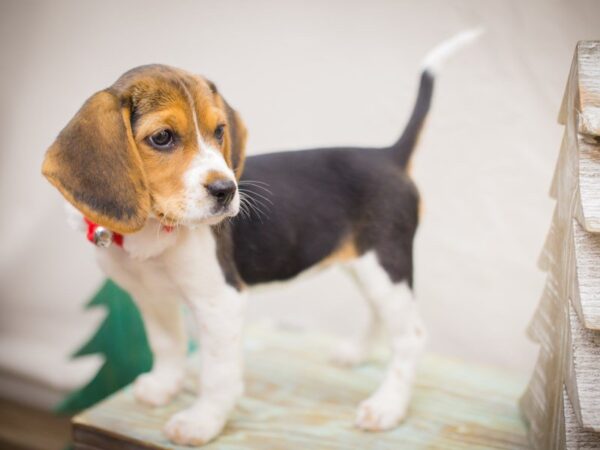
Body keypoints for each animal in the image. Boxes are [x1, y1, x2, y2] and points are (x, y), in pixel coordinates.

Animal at [42, 30, 482, 446]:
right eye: (162, 137)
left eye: (220, 131)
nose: (226, 190)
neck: (153, 228)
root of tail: (388, 154)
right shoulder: (151, 298)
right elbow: (167, 346)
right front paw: (164, 386)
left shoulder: (221, 302)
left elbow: (217, 374)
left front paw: (202, 422)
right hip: (365, 264)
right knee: (380, 314)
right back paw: (356, 353)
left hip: (385, 261)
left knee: (411, 337)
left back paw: (388, 406)